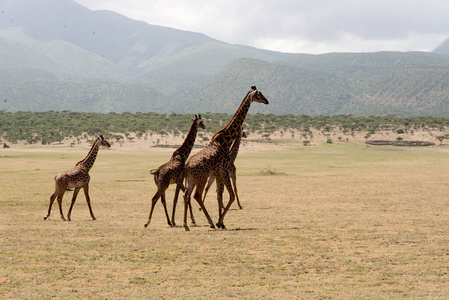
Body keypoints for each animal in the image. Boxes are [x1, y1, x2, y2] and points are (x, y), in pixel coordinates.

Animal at [183, 85, 270, 231]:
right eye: (259, 94)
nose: (266, 101)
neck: (226, 140)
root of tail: (187, 166)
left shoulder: (218, 173)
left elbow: (219, 196)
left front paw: (222, 222)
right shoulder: (224, 171)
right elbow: (231, 195)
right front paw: (219, 222)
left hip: (191, 179)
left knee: (186, 195)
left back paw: (186, 225)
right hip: (202, 177)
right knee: (196, 195)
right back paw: (210, 223)